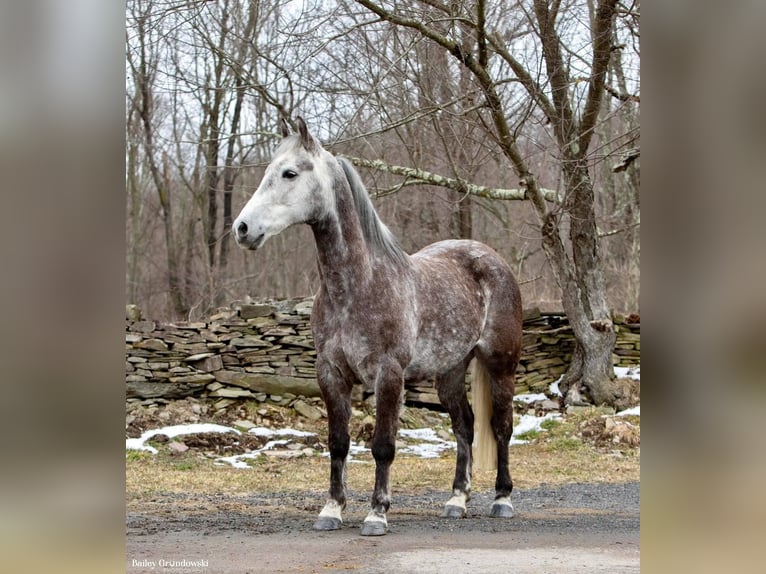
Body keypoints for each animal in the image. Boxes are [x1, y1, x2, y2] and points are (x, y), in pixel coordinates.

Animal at [234, 119, 520, 536]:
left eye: (289, 173)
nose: (242, 228)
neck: (358, 285)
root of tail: (490, 258)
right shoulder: (331, 373)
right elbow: (338, 442)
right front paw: (332, 510)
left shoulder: (389, 373)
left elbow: (383, 445)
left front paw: (376, 513)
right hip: (449, 372)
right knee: (464, 427)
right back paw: (456, 501)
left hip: (501, 364)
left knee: (501, 427)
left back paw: (502, 499)